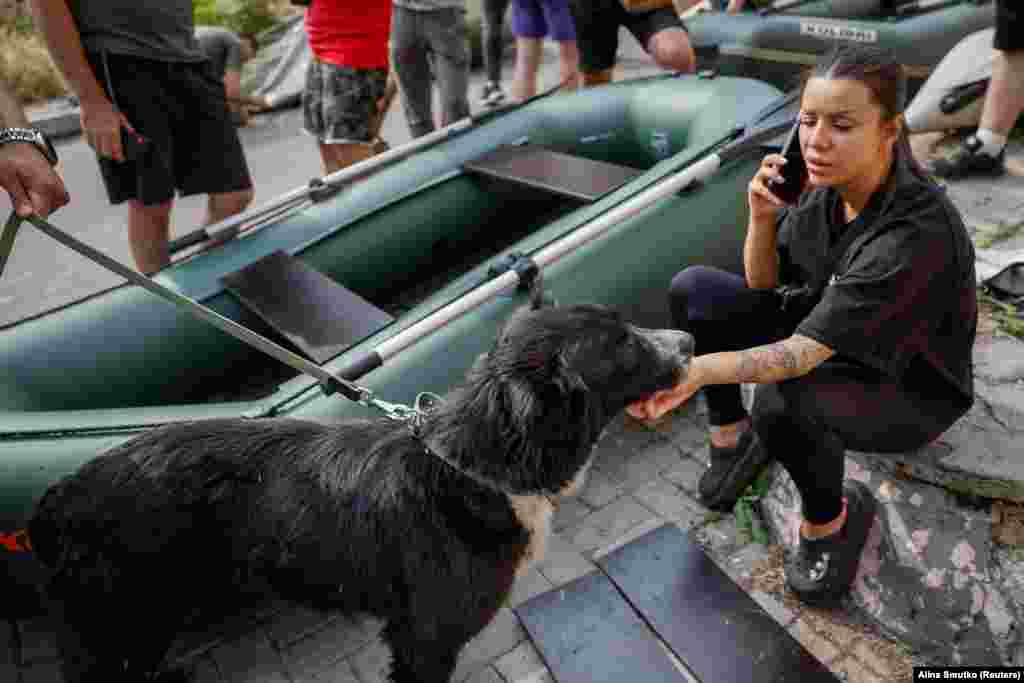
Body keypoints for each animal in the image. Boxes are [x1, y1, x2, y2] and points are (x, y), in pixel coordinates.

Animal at [28, 305, 692, 683]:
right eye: (623, 346)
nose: (687, 341)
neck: (473, 472)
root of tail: (60, 496)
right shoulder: (425, 639)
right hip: (122, 625)